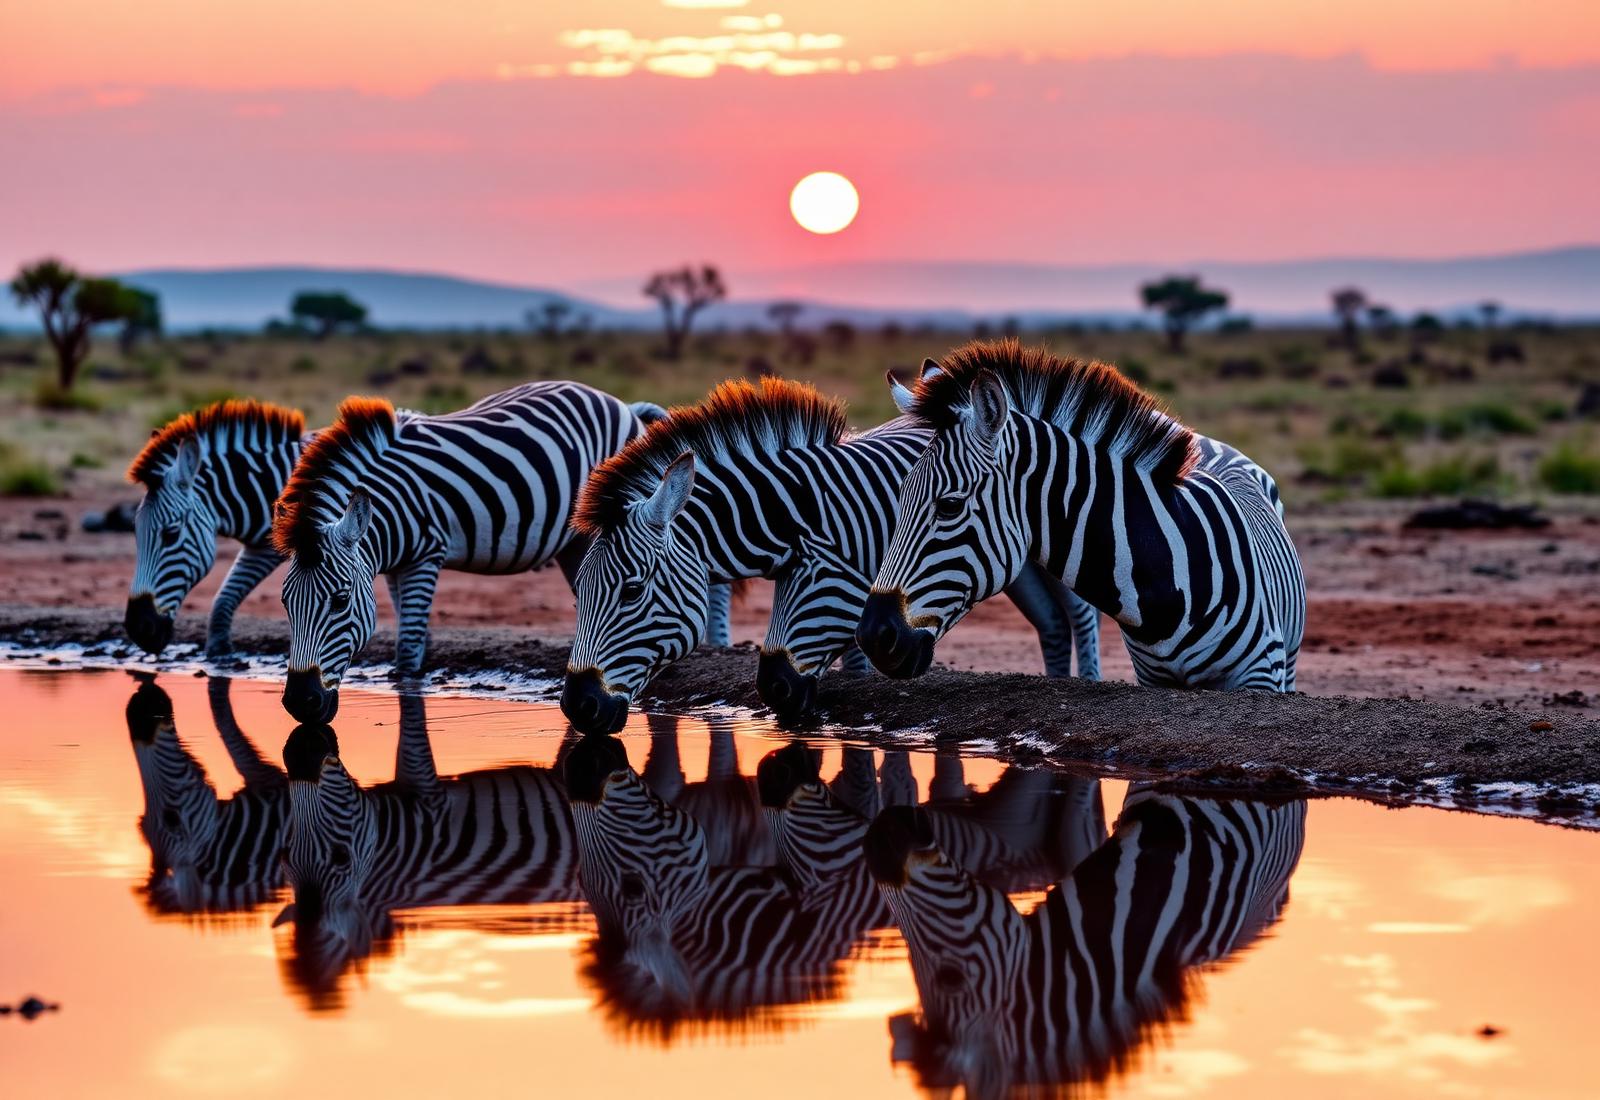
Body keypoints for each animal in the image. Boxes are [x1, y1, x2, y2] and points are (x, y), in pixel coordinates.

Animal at [125, 400, 310, 657]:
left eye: (171, 535)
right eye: (135, 532)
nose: (138, 629)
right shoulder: (262, 548)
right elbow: (224, 598)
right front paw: (218, 649)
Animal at [273, 382, 729, 723]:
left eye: (339, 601)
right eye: (285, 603)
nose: (299, 703)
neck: (387, 505)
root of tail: (621, 403)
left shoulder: (426, 555)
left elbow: (409, 646)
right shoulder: (391, 566)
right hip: (577, 541)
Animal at [278, 692, 583, 1009]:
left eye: (341, 857)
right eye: (286, 857)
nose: (306, 765)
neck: (388, 847)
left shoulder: (427, 792)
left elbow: (412, 720)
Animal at [561, 376, 1102, 735]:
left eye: (632, 591)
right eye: (578, 594)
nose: (576, 707)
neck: (816, 506)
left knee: (1080, 611)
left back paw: (1091, 684)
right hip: (1018, 568)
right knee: (1052, 623)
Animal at [860, 339, 1305, 691]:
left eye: (949, 505)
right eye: (900, 496)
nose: (873, 635)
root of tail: (1209, 441)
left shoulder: (1259, 677)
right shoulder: (1154, 682)